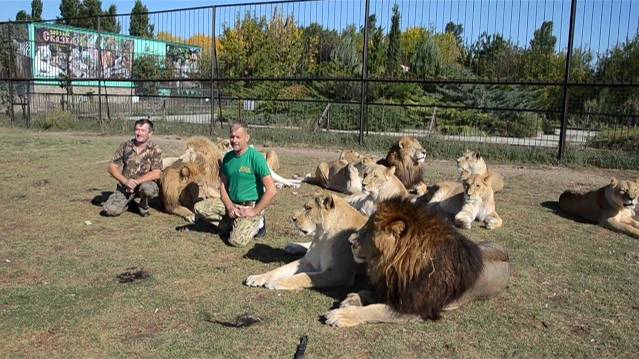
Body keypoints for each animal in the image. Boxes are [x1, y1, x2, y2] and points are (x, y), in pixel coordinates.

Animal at [322, 197, 512, 330]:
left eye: (368, 231)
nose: (349, 240)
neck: (394, 266)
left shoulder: (413, 309)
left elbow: (374, 309)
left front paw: (342, 315)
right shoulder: (394, 287)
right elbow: (369, 293)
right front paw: (353, 298)